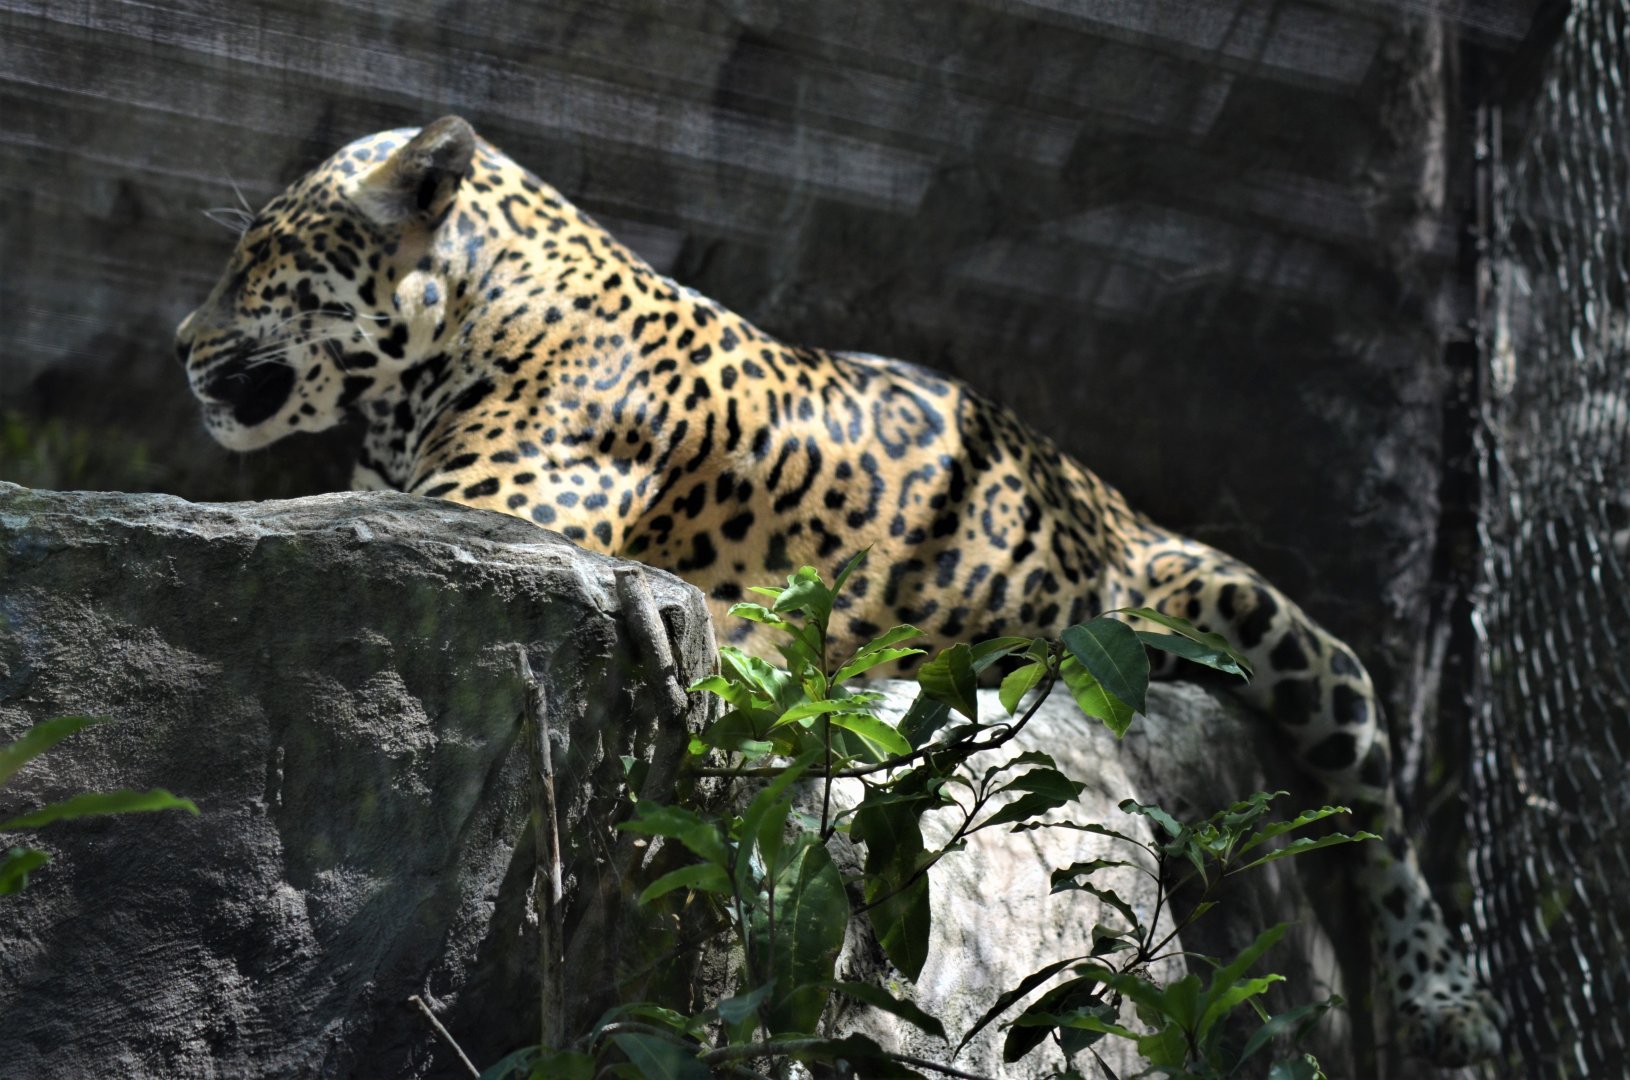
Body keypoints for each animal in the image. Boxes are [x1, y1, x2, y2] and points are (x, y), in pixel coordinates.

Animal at [175, 116, 1501, 1067]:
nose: (184, 346)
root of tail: (1089, 482)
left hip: (1257, 619)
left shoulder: (489, 511)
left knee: (1371, 788)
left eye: (259, 258)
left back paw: (1443, 997)